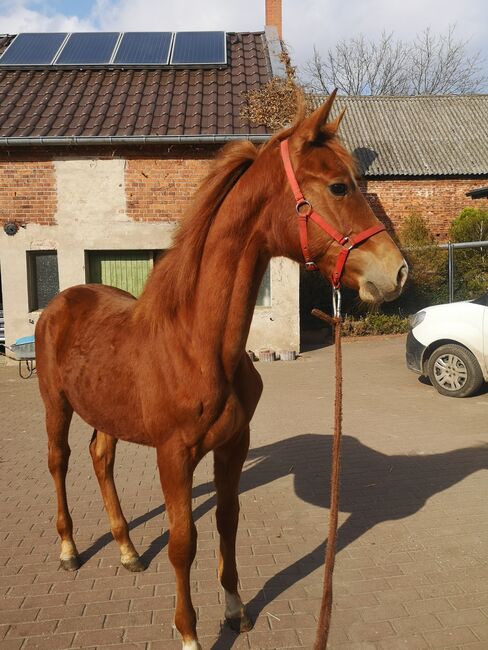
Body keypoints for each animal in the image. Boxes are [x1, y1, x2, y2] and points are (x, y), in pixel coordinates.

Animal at [35, 92, 408, 648]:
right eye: (339, 186)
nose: (397, 272)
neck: (200, 345)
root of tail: (61, 302)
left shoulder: (234, 445)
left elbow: (227, 522)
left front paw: (235, 609)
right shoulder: (174, 455)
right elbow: (183, 541)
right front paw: (189, 632)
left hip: (107, 413)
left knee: (101, 459)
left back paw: (127, 551)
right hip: (56, 406)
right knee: (60, 462)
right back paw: (68, 550)